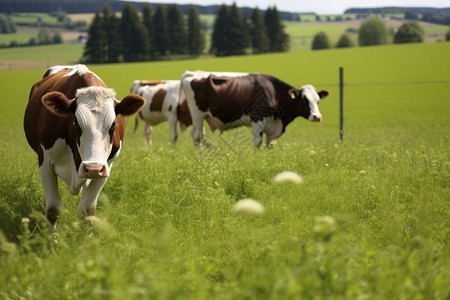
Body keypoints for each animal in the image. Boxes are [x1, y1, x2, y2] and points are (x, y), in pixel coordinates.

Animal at [23, 63, 145, 227]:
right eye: (75, 123)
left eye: (113, 124)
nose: (92, 168)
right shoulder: (45, 161)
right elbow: (53, 210)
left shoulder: (106, 167)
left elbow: (87, 212)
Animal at [180, 72, 330, 149]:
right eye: (304, 100)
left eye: (318, 100)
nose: (317, 117)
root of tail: (192, 74)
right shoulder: (257, 119)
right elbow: (257, 142)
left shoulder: (272, 124)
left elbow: (270, 144)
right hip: (197, 114)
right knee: (197, 136)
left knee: (200, 135)